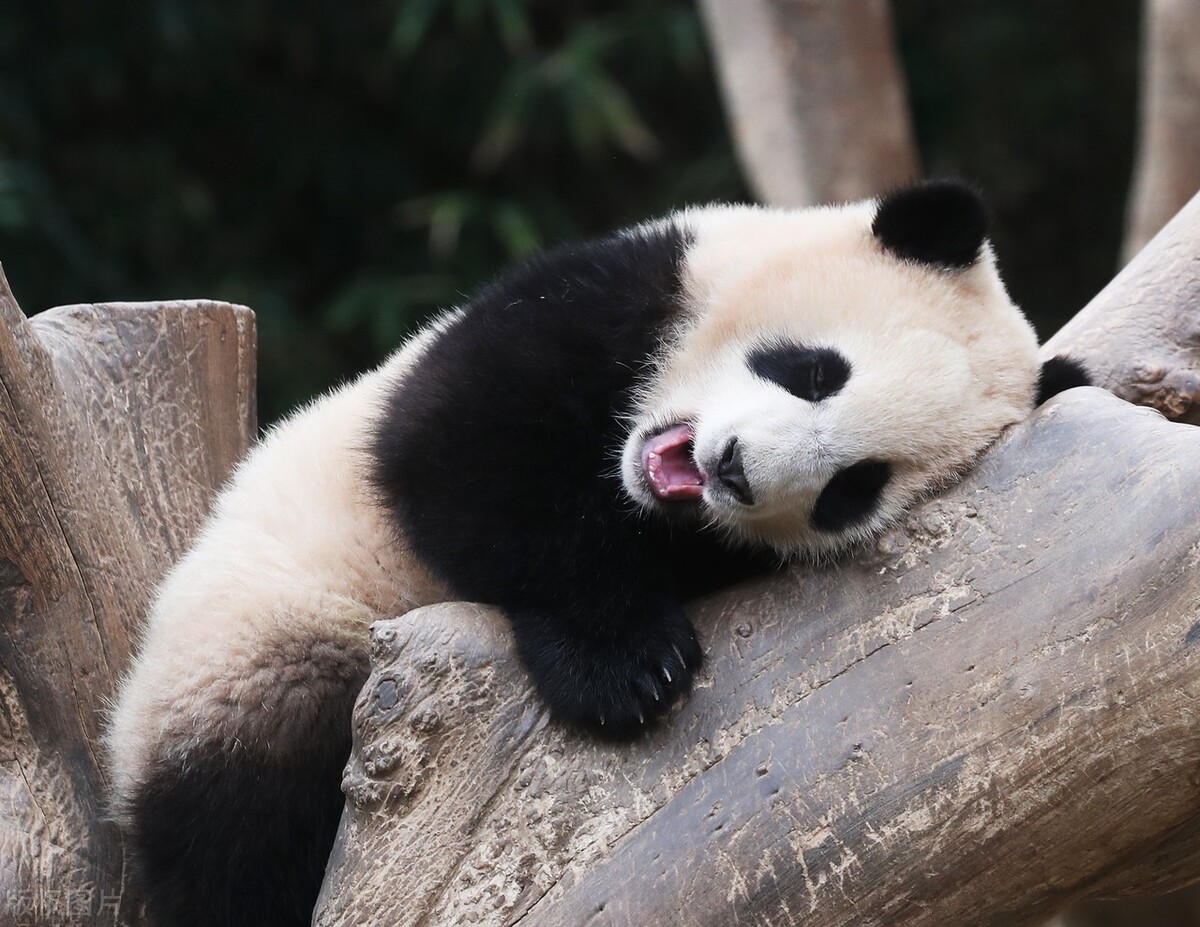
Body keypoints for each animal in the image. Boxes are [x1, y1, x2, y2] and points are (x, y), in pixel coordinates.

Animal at [105, 180, 1089, 927]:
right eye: (814, 370)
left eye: (855, 486)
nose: (733, 470)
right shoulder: (604, 292)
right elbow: (456, 458)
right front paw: (625, 665)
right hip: (253, 645)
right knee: (241, 829)